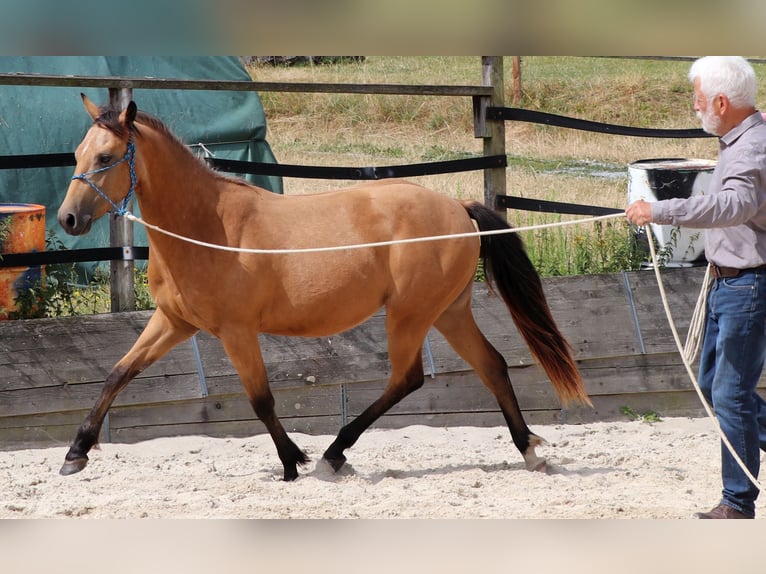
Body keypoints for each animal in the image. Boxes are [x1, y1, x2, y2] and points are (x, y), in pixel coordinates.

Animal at [56, 94, 591, 481]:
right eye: (78, 154)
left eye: (106, 157)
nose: (68, 219)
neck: (207, 225)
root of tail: (458, 209)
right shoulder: (174, 323)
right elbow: (117, 374)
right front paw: (75, 452)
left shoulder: (236, 331)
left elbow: (262, 400)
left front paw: (292, 462)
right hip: (448, 312)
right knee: (491, 366)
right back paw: (529, 452)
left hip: (411, 315)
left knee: (408, 379)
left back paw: (336, 452)